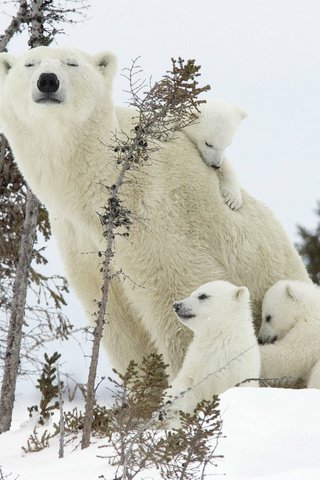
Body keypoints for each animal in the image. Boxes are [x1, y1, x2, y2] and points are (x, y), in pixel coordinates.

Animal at [0, 47, 310, 376]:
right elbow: (118, 323)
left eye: (71, 63)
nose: (48, 80)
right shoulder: (80, 240)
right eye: (29, 64)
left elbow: (179, 295)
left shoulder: (156, 214)